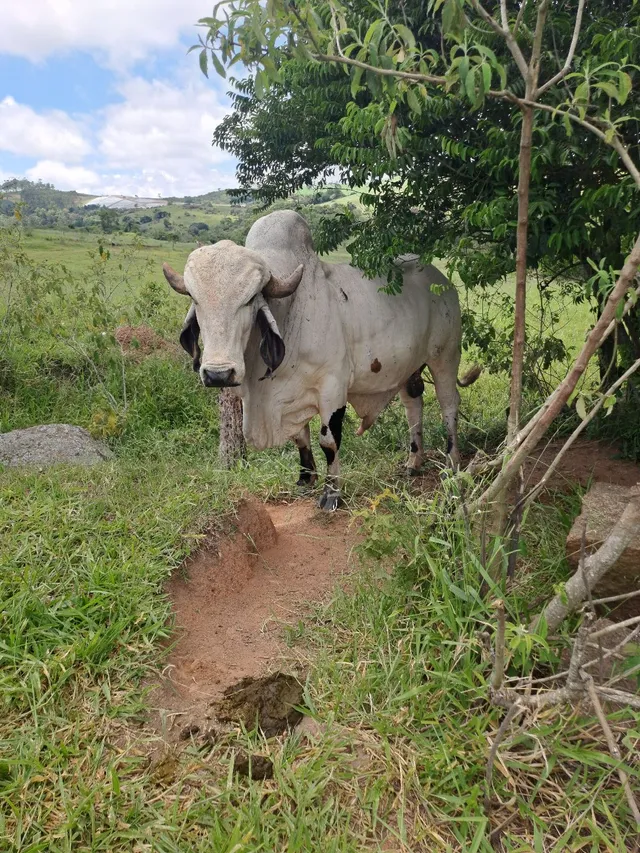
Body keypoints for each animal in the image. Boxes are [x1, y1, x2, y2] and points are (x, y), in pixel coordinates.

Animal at [163, 210, 479, 510]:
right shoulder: (286, 397)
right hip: (408, 368)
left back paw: (452, 463)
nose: (218, 374)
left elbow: (328, 442)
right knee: (414, 405)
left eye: (251, 299)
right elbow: (300, 438)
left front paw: (332, 493)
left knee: (449, 405)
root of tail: (443, 282)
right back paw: (414, 462)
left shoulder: (332, 389)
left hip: (445, 357)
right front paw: (305, 479)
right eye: (195, 298)